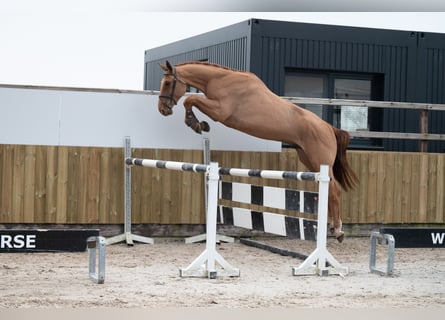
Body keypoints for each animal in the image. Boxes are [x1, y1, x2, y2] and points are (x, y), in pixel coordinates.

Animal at [156, 60, 358, 241]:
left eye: (167, 83)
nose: (162, 110)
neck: (220, 79)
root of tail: (329, 128)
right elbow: (191, 101)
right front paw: (199, 124)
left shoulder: (220, 111)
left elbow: (191, 99)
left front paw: (196, 124)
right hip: (307, 158)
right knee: (329, 189)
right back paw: (332, 227)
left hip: (319, 161)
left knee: (334, 190)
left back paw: (338, 230)